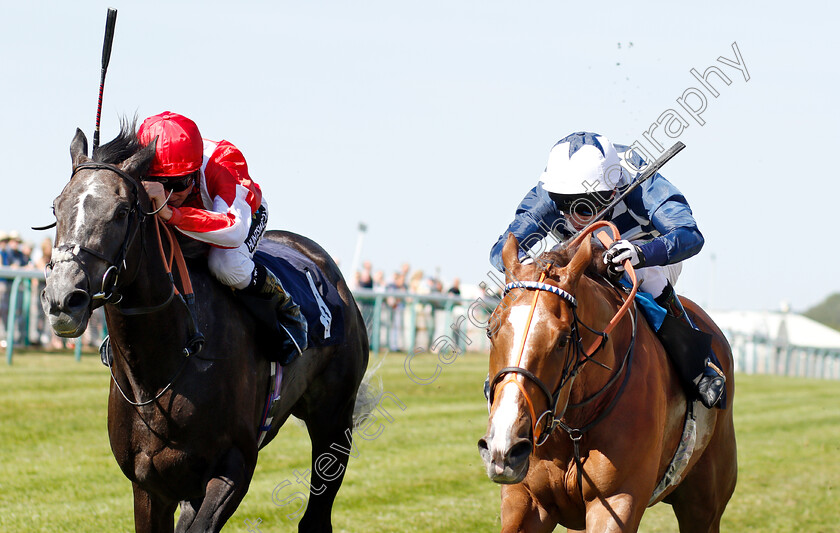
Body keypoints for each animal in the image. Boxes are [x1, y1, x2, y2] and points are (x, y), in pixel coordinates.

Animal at [39, 125, 368, 532]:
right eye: (56, 207)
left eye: (122, 211)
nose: (63, 297)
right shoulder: (150, 484)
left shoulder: (234, 467)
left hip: (333, 419)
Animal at [480, 232, 736, 532]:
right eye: (490, 330)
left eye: (563, 339)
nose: (505, 447)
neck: (575, 426)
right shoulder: (526, 500)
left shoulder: (617, 500)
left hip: (703, 506)